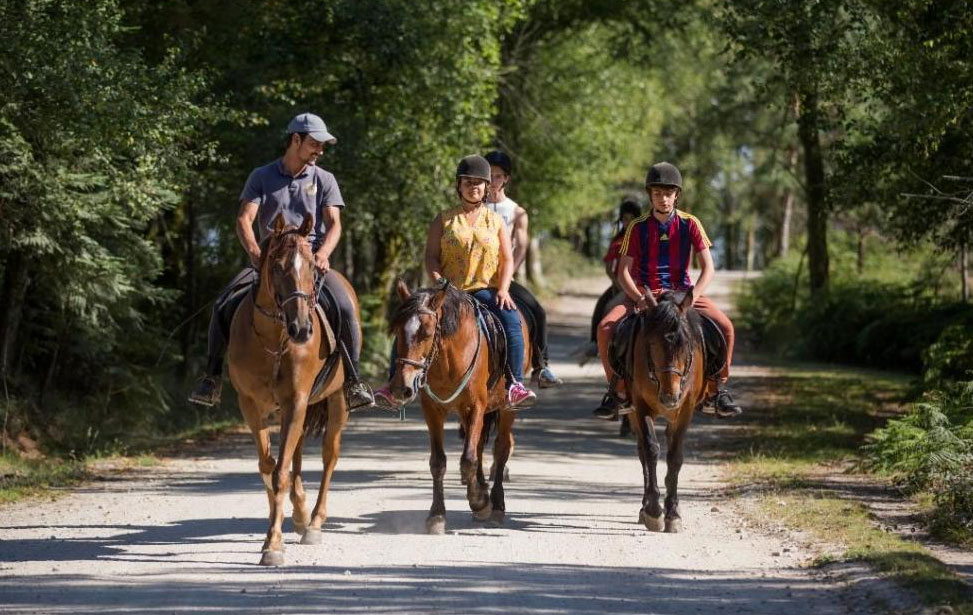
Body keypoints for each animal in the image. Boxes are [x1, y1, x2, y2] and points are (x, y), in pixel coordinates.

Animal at [226, 213, 356, 568]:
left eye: (311, 265)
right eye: (276, 265)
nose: (302, 329)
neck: (274, 337)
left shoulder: (296, 401)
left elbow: (281, 471)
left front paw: (273, 544)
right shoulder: (250, 404)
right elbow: (268, 466)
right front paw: (276, 532)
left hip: (337, 401)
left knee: (329, 455)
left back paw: (313, 523)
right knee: (295, 452)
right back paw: (299, 514)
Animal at [624, 290, 708, 536]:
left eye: (686, 344)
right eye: (651, 343)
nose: (671, 397)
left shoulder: (686, 408)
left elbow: (675, 456)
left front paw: (673, 513)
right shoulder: (641, 405)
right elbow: (651, 451)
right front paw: (654, 511)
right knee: (642, 451)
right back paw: (644, 508)